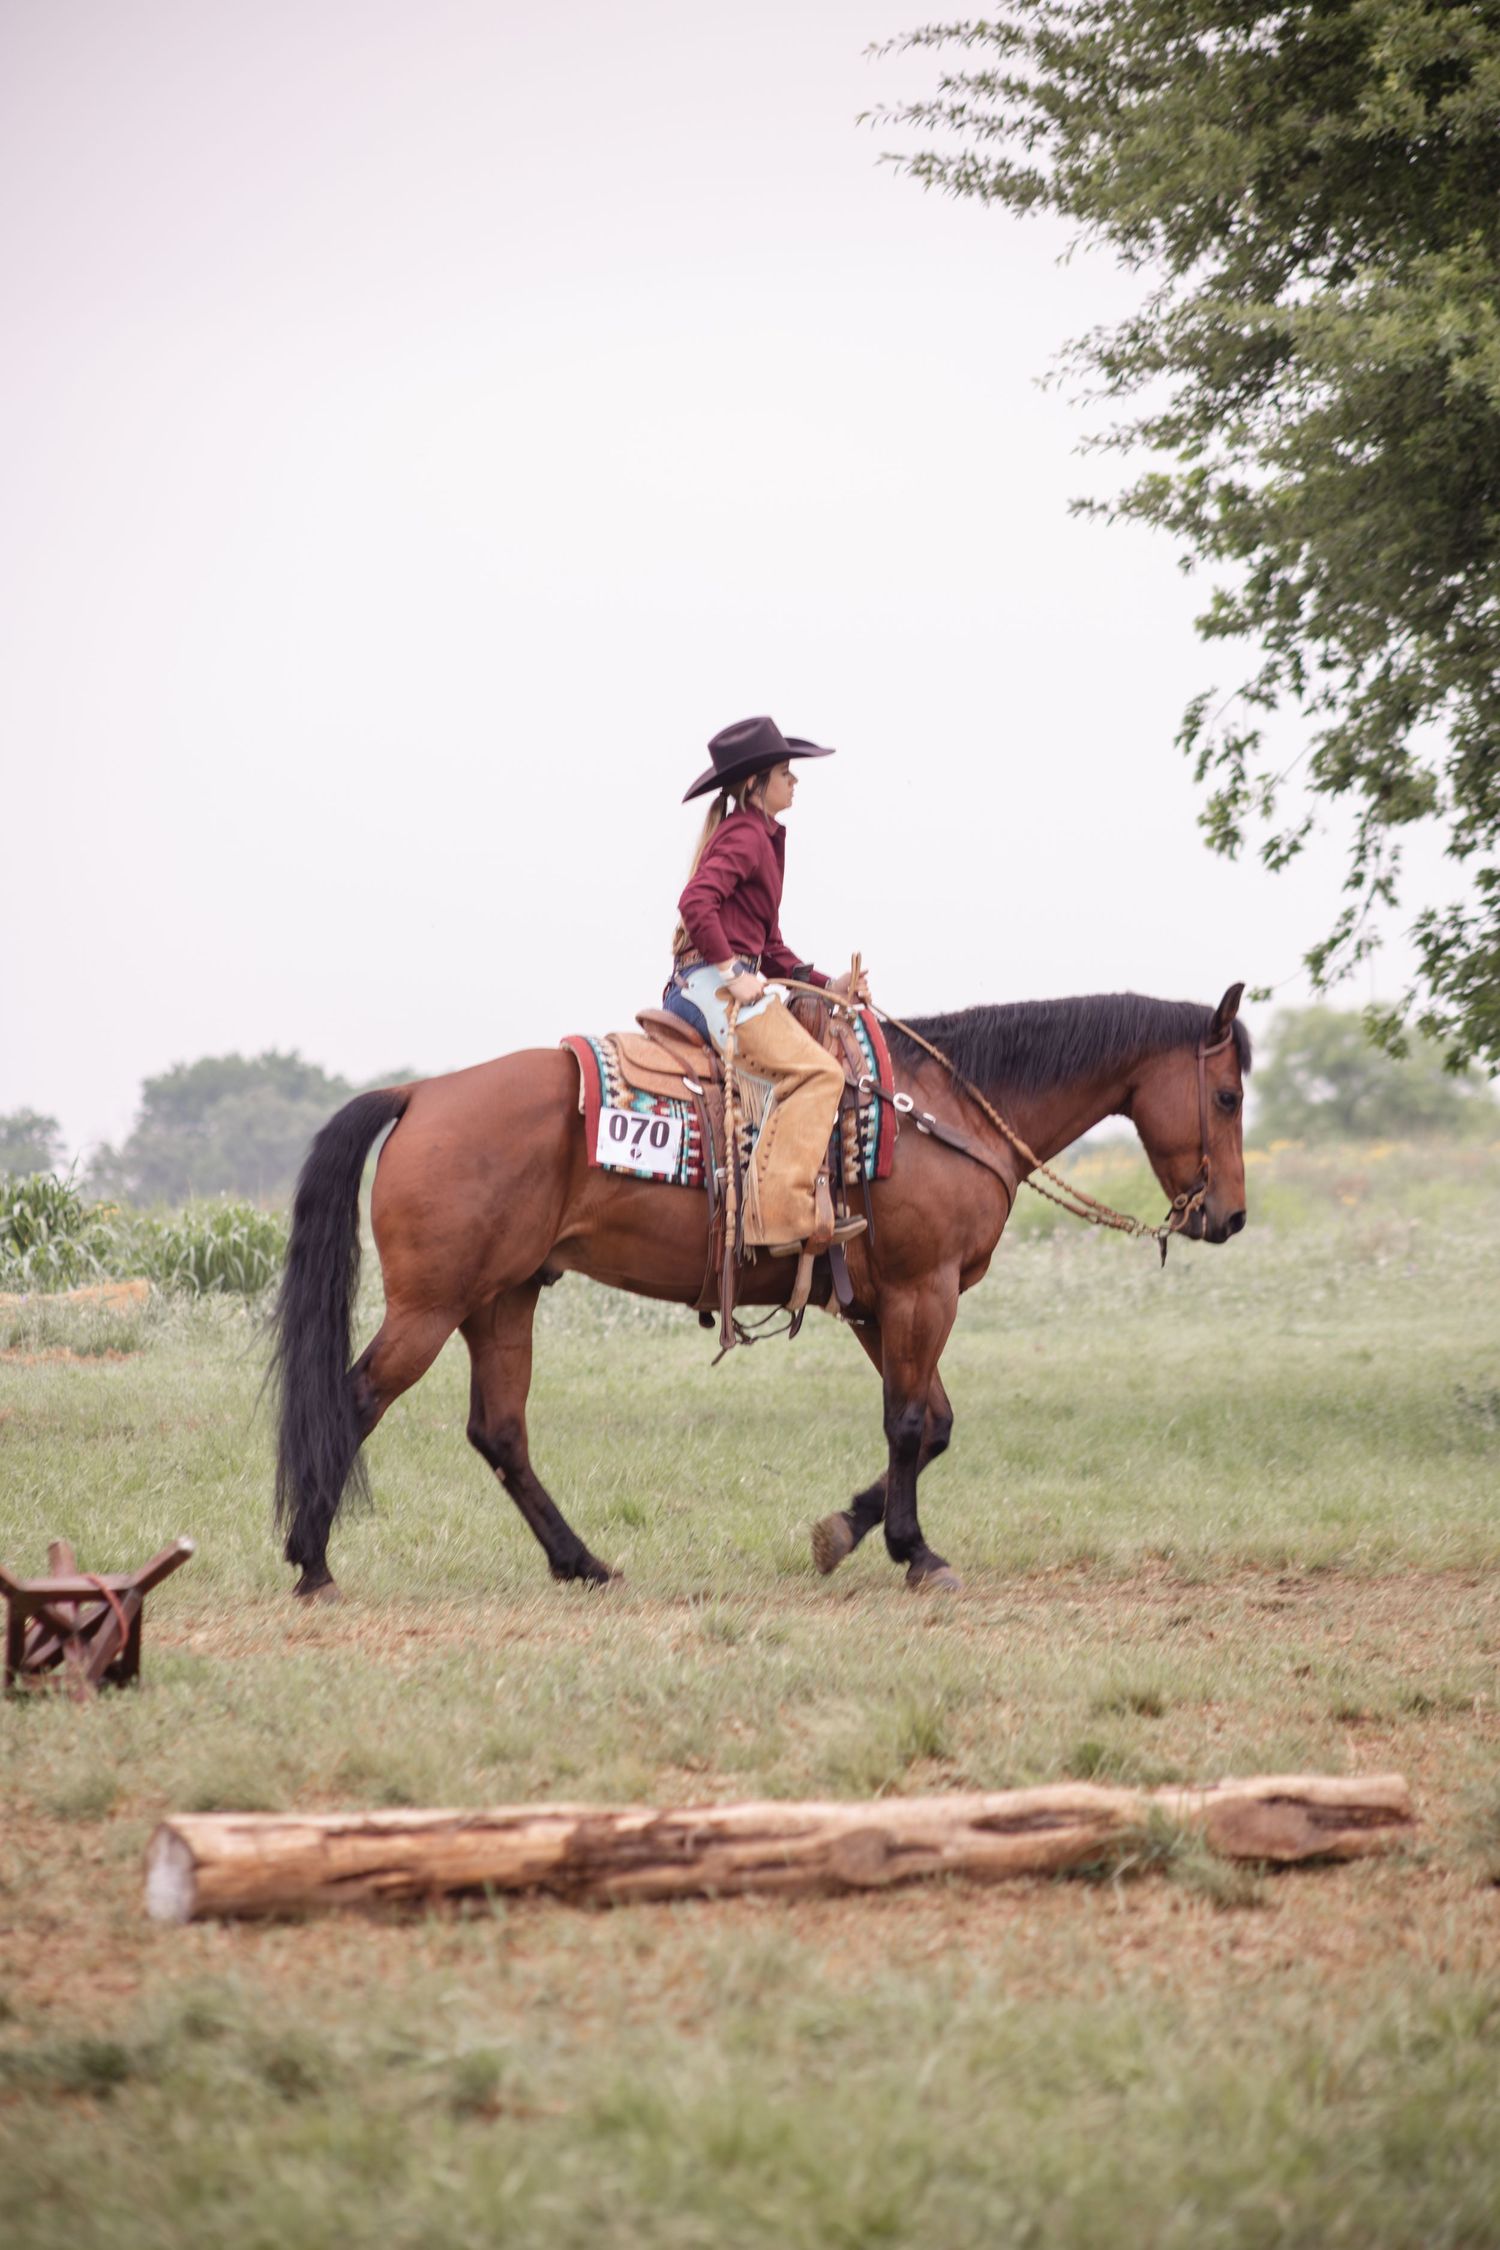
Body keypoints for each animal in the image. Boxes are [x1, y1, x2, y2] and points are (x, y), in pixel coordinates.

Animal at [270, 984, 1249, 1601]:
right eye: (1229, 1097)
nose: (1231, 1218)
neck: (941, 1111)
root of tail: (421, 1092)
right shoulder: (922, 1292)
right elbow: (910, 1424)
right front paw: (915, 1553)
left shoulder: (878, 1305)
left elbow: (931, 1424)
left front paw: (846, 1532)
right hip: (431, 1307)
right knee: (353, 1400)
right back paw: (313, 1563)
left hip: (502, 1300)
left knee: (499, 1432)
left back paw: (583, 1564)